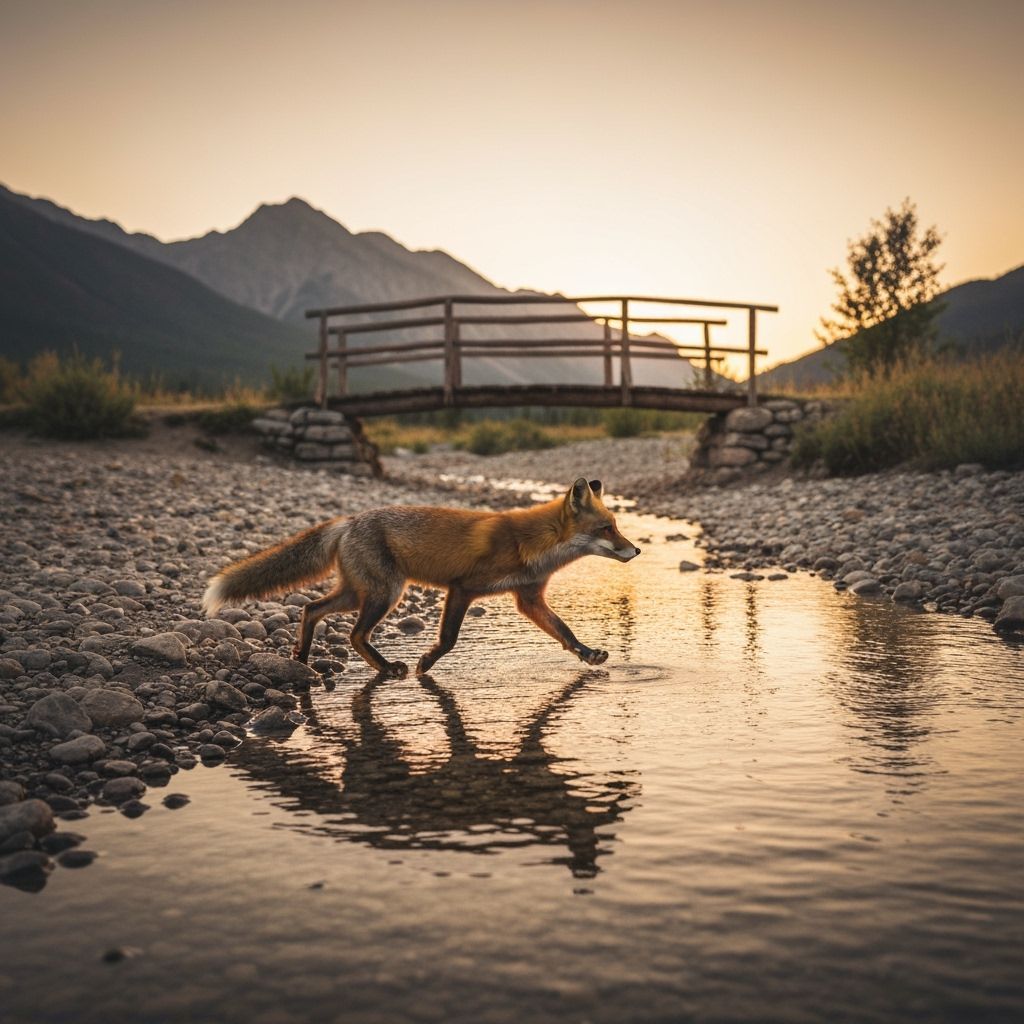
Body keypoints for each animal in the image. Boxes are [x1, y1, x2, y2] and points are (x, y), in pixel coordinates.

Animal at [202, 477, 640, 677]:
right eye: (607, 529)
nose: (636, 551)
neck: (531, 544)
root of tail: (349, 520)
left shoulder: (529, 599)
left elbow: (564, 632)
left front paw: (588, 654)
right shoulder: (462, 589)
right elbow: (448, 639)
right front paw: (425, 664)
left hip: (359, 593)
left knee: (311, 608)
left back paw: (304, 658)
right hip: (386, 593)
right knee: (354, 634)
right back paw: (386, 667)